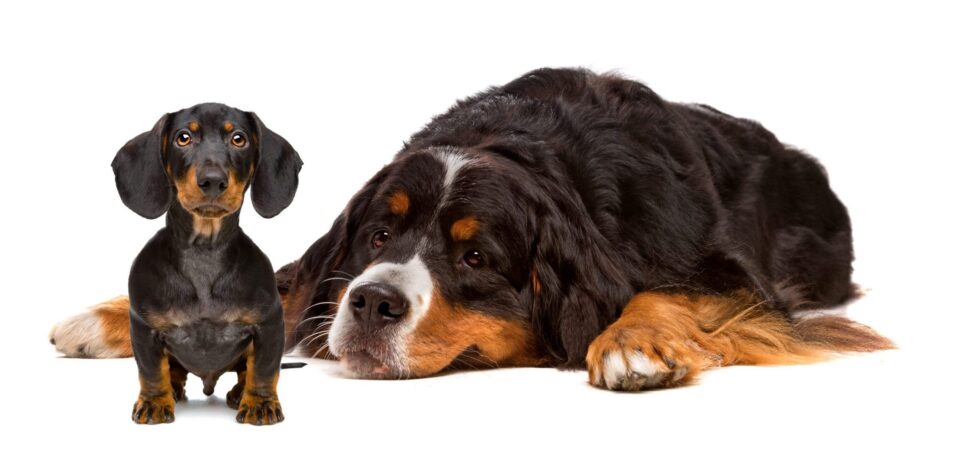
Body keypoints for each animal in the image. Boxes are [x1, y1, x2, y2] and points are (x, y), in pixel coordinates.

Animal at [50, 67, 892, 388]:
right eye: (378, 238)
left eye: (479, 257)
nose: (372, 303)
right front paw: (109, 318)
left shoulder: (729, 276)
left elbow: (667, 293)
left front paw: (632, 343)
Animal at [110, 103, 302, 424]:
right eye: (183, 137)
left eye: (239, 139)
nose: (212, 180)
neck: (204, 253)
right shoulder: (143, 328)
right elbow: (151, 371)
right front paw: (154, 401)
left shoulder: (270, 324)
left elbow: (264, 369)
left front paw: (260, 403)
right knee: (174, 370)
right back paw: (173, 389)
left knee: (245, 370)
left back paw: (239, 393)